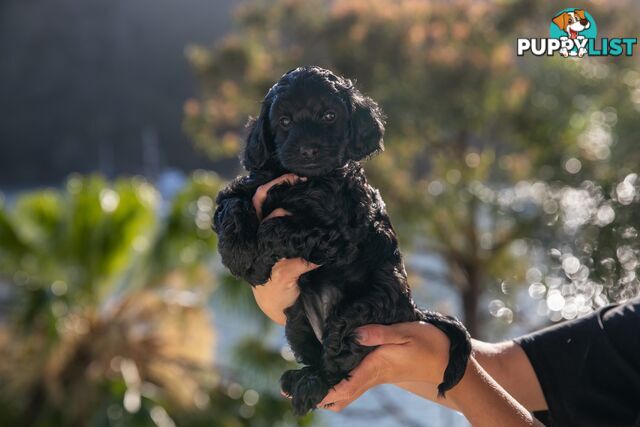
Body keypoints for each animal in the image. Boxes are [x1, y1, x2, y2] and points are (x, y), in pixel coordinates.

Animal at [214, 66, 470, 414]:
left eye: (329, 115)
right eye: (285, 121)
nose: (308, 149)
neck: (307, 179)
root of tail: (413, 311)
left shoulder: (339, 234)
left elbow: (275, 229)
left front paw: (255, 264)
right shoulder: (251, 185)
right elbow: (231, 205)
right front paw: (238, 254)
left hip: (364, 310)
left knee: (339, 355)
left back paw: (314, 386)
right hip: (297, 321)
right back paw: (302, 378)